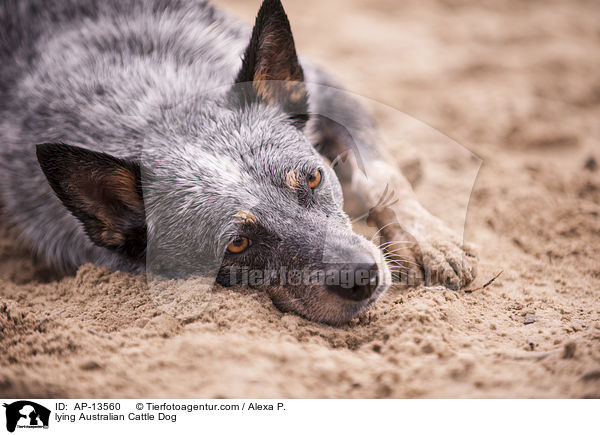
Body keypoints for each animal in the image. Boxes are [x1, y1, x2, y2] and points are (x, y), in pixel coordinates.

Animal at [0, 0, 478, 324]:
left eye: (314, 178)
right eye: (236, 244)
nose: (362, 276)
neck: (157, 108)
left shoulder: (333, 93)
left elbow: (379, 175)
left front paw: (432, 242)